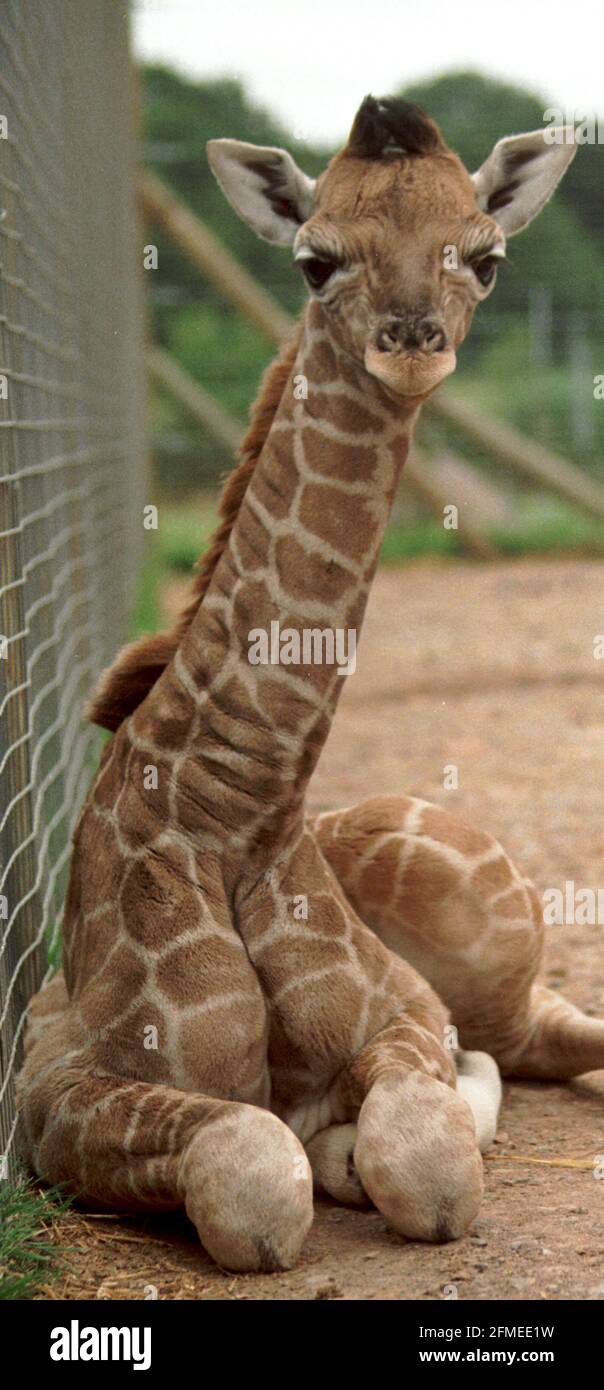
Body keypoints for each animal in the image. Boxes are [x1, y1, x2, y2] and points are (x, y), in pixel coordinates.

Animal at [16, 100, 597, 1273]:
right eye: (313, 259)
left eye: (486, 257)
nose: (410, 343)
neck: (238, 811)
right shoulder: (53, 1097)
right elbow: (255, 1171)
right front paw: (322, 1150)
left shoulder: (407, 1016)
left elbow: (425, 1159)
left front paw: (359, 1142)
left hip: (492, 946)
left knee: (545, 1034)